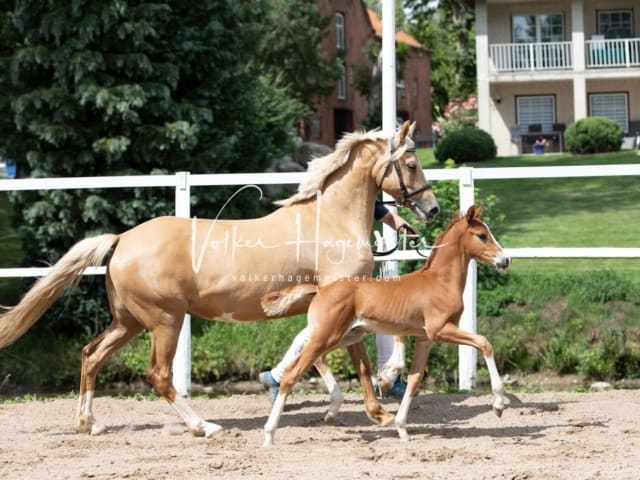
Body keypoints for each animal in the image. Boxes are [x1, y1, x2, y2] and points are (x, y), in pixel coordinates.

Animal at [264, 206, 510, 446]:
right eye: (482, 235)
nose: (505, 260)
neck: (440, 282)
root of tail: (320, 290)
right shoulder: (440, 329)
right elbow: (484, 343)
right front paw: (499, 404)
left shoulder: (425, 338)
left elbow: (415, 379)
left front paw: (401, 428)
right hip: (328, 336)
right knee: (292, 374)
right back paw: (269, 434)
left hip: (346, 336)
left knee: (315, 360)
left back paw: (333, 411)